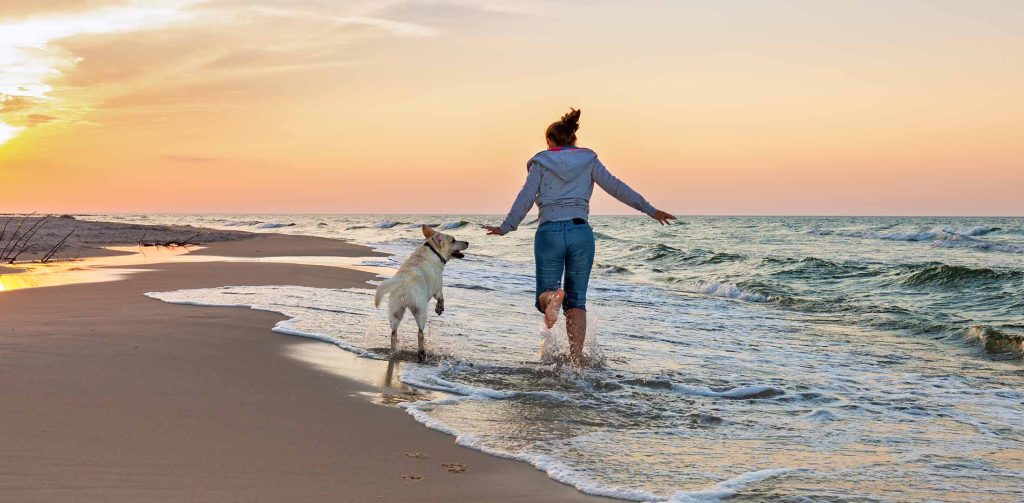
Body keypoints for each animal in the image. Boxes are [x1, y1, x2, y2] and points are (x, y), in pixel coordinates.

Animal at [374, 225, 468, 362]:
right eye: (453, 240)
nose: (467, 242)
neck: (433, 250)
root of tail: (404, 281)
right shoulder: (437, 287)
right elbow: (441, 298)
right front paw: (439, 308)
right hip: (421, 310)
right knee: (420, 332)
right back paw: (422, 353)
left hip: (395, 311)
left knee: (393, 333)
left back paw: (393, 351)